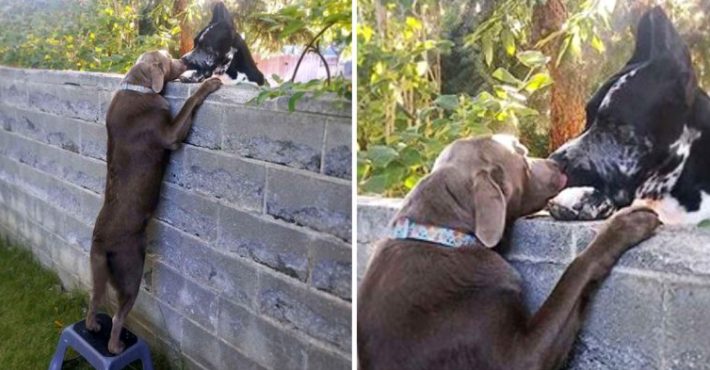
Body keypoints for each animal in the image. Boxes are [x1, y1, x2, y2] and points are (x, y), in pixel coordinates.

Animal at [85, 50, 222, 354]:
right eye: (169, 59)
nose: (185, 60)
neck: (137, 85)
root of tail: (100, 241)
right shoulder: (170, 134)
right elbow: (189, 103)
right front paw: (209, 84)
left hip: (100, 271)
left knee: (94, 301)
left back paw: (94, 326)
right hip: (131, 270)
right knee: (118, 315)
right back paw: (115, 347)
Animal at [358, 136, 664, 370]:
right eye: (522, 154)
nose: (557, 161)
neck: (446, 234)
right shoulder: (521, 357)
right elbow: (575, 271)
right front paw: (627, 223)